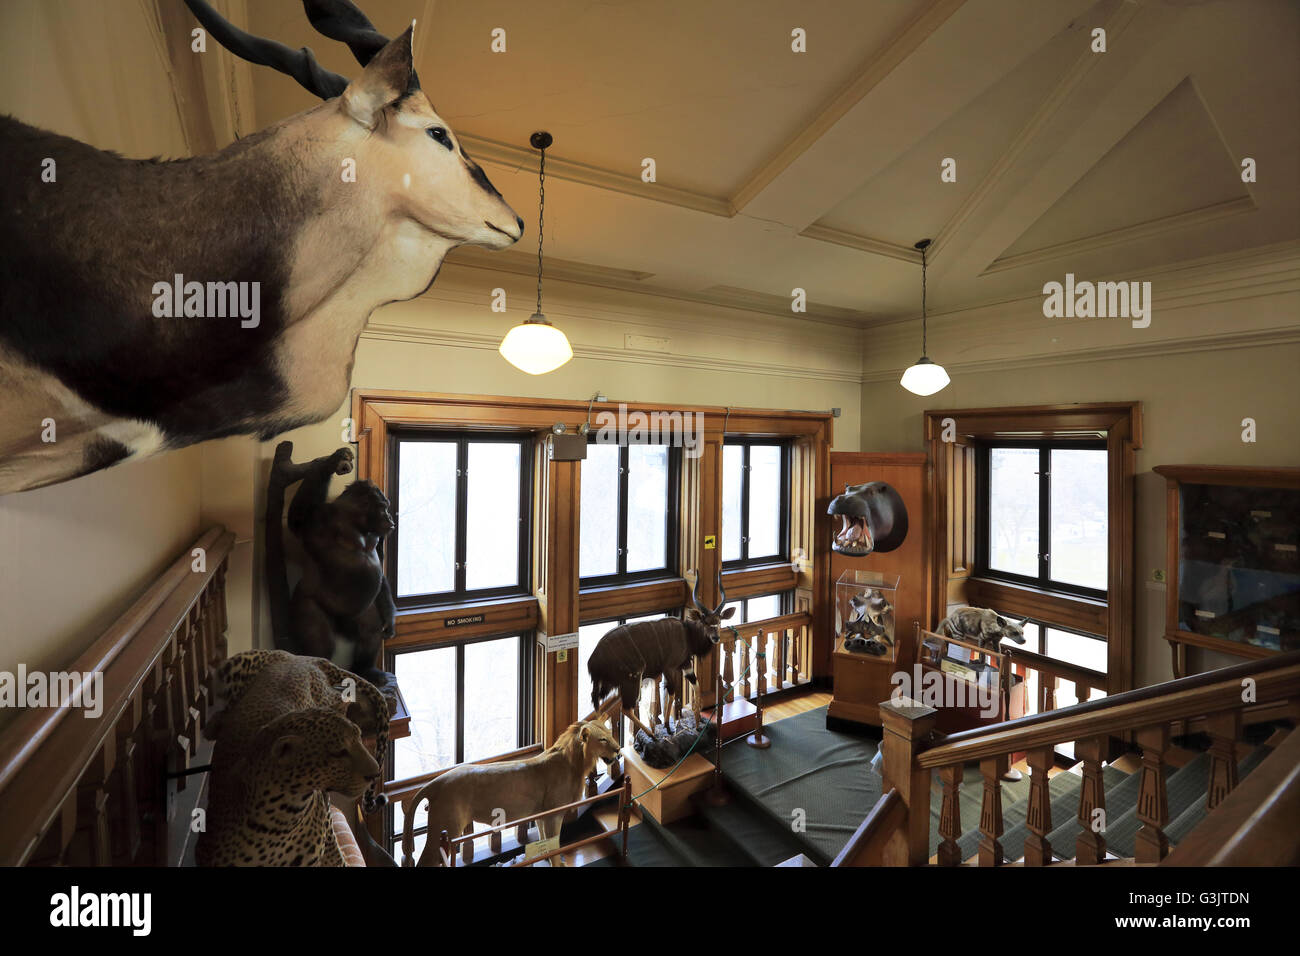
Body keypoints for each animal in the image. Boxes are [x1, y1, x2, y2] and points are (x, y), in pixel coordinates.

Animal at [587, 567, 733, 723]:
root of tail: (593, 661)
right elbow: (672, 693)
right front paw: (668, 725)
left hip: (608, 685)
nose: (716, 637)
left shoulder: (686, 665)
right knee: (626, 708)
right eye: (705, 622)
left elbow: (695, 685)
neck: (687, 634)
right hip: (633, 678)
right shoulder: (669, 667)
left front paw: (698, 722)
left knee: (597, 705)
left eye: (719, 621)